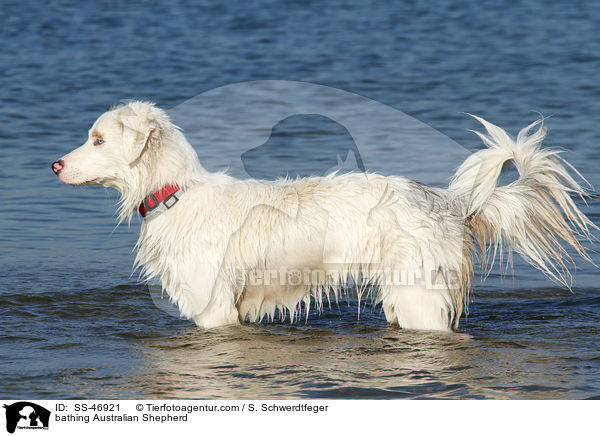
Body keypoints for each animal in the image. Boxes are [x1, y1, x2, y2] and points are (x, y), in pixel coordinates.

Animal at [52, 102, 596, 330]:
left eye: (97, 140)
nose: (55, 165)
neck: (175, 193)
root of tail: (446, 201)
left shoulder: (214, 311)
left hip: (419, 299)